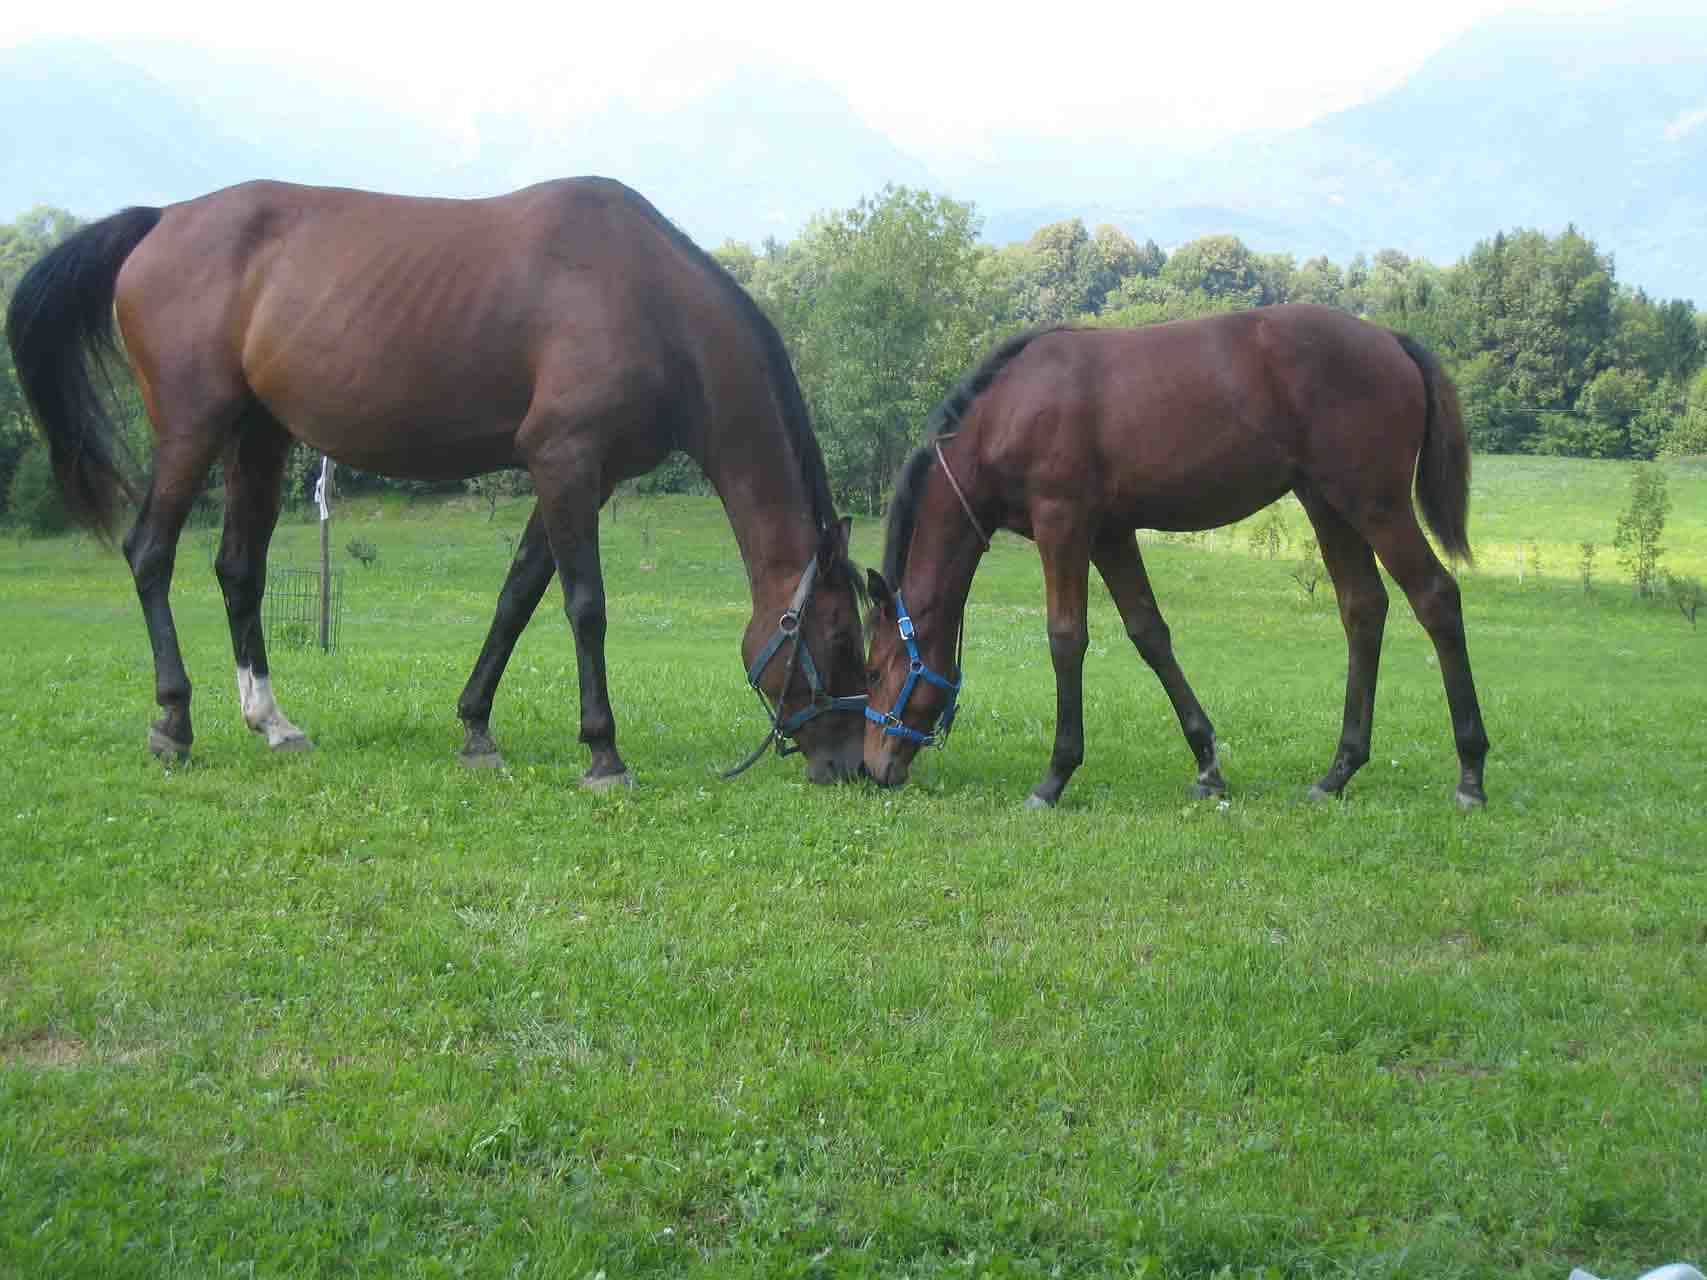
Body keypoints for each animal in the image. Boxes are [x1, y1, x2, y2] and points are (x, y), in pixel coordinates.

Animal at [6, 177, 869, 787]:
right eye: (837, 638)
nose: (852, 766)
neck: (648, 299)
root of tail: (163, 218)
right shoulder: (567, 461)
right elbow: (585, 607)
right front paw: (603, 753)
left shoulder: (579, 476)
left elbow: (516, 598)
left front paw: (476, 729)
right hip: (192, 427)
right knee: (150, 552)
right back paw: (173, 723)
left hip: (258, 436)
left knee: (239, 572)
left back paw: (273, 722)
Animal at [861, 305, 1489, 810]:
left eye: (875, 669)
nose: (872, 768)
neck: (1009, 410)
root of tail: (1390, 339)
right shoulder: (1111, 534)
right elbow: (1149, 634)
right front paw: (1207, 764)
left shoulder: (1063, 523)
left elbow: (1066, 638)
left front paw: (1055, 776)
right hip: (1328, 504)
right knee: (1362, 610)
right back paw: (1338, 771)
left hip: (1375, 504)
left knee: (1435, 598)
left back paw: (1471, 772)